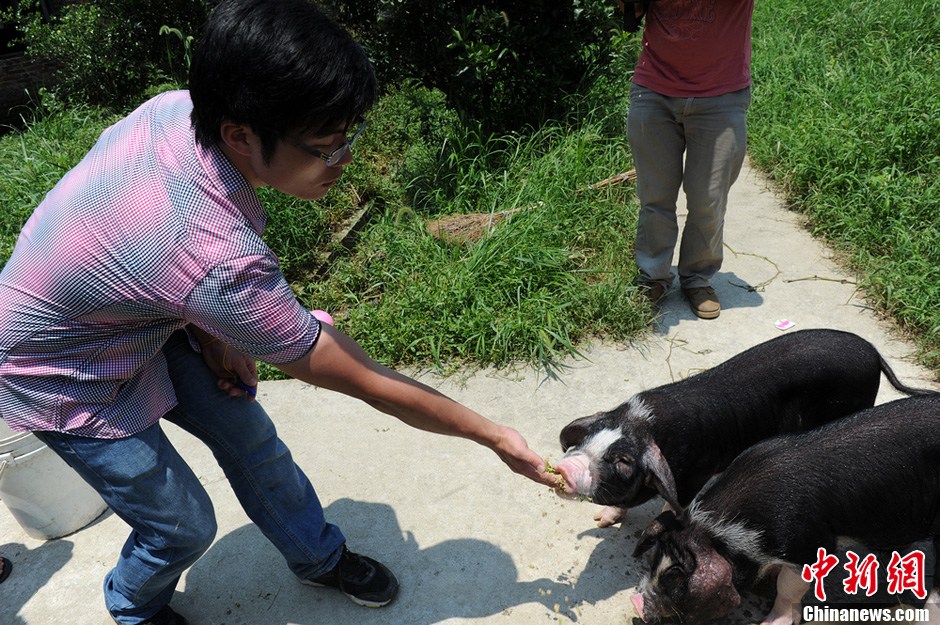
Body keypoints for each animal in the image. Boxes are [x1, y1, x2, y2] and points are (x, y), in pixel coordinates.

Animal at [552, 326, 932, 528]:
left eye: (623, 461)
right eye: (588, 438)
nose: (567, 466)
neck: (645, 422)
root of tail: (874, 352)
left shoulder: (695, 474)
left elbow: (674, 503)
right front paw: (601, 520)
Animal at [628, 394, 940, 624]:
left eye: (676, 579)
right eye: (654, 560)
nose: (636, 602)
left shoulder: (809, 545)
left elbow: (788, 589)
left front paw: (769, 621)